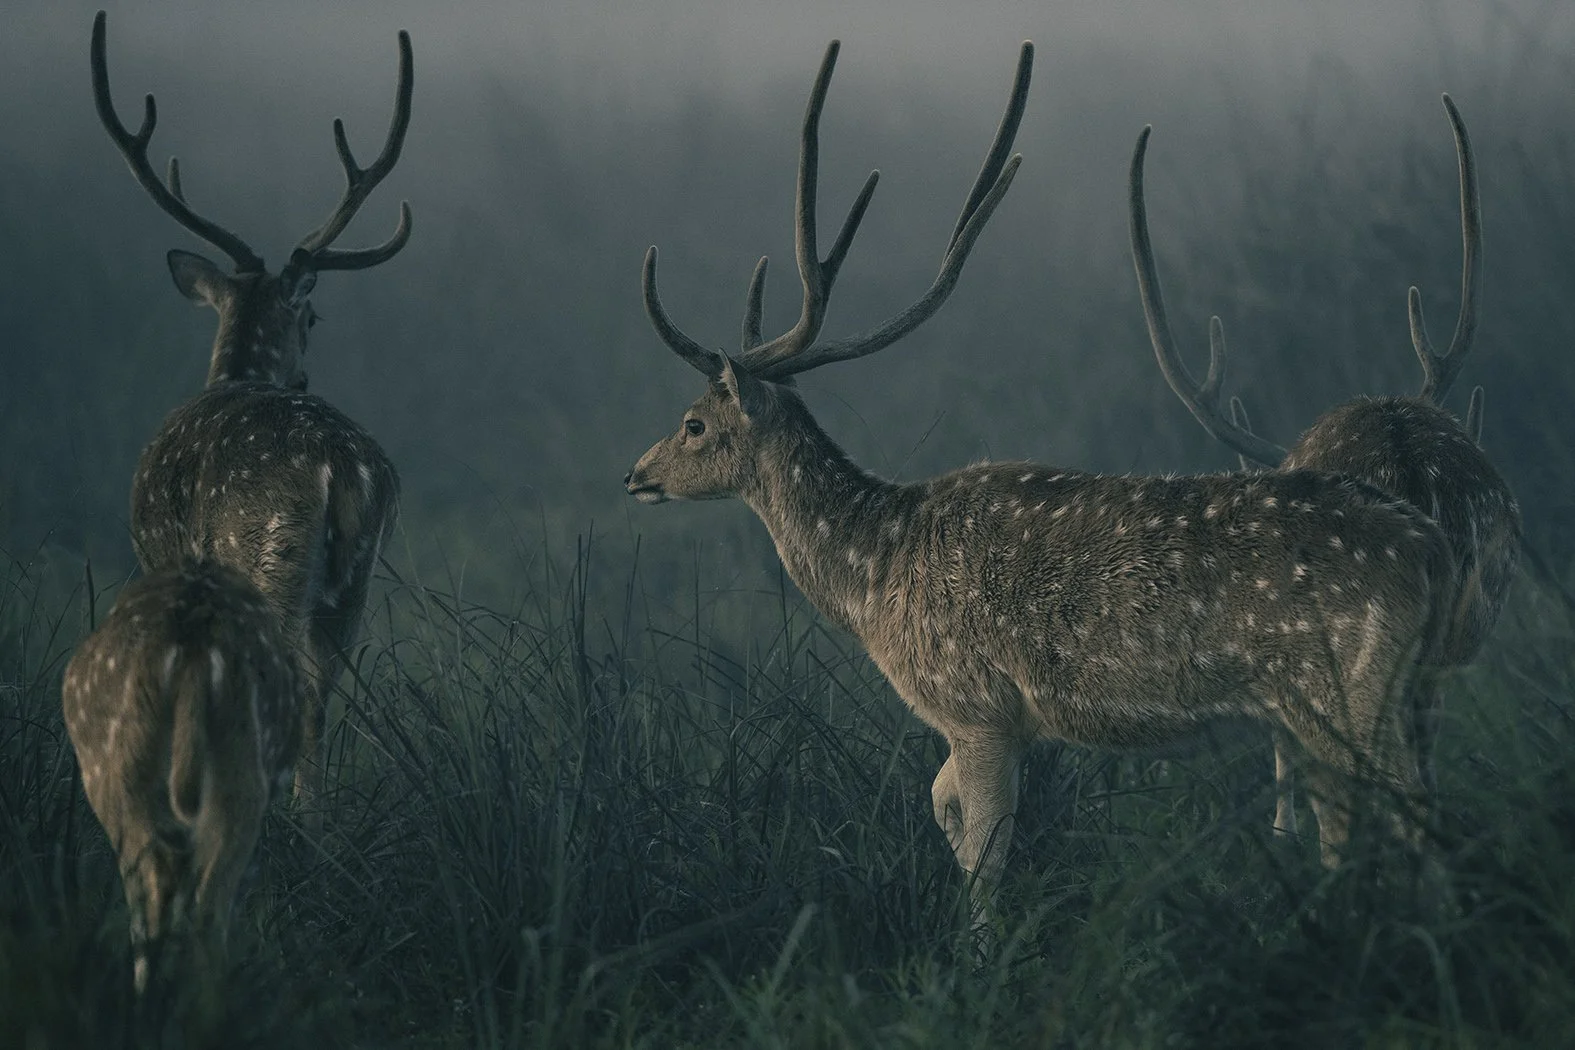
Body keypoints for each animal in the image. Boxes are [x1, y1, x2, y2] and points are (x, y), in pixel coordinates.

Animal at [91, 11, 408, 816]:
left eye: (313, 317)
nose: (305, 367)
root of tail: (337, 466)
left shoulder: (165, 559)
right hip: (353, 582)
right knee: (324, 694)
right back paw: (311, 818)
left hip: (267, 552)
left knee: (289, 688)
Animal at [623, 39, 1455, 927]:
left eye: (693, 423)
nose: (634, 475)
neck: (874, 578)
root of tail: (1429, 547)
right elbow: (944, 815)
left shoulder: (975, 706)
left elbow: (983, 853)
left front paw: (982, 951)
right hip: (1384, 693)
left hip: (1347, 688)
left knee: (1412, 812)